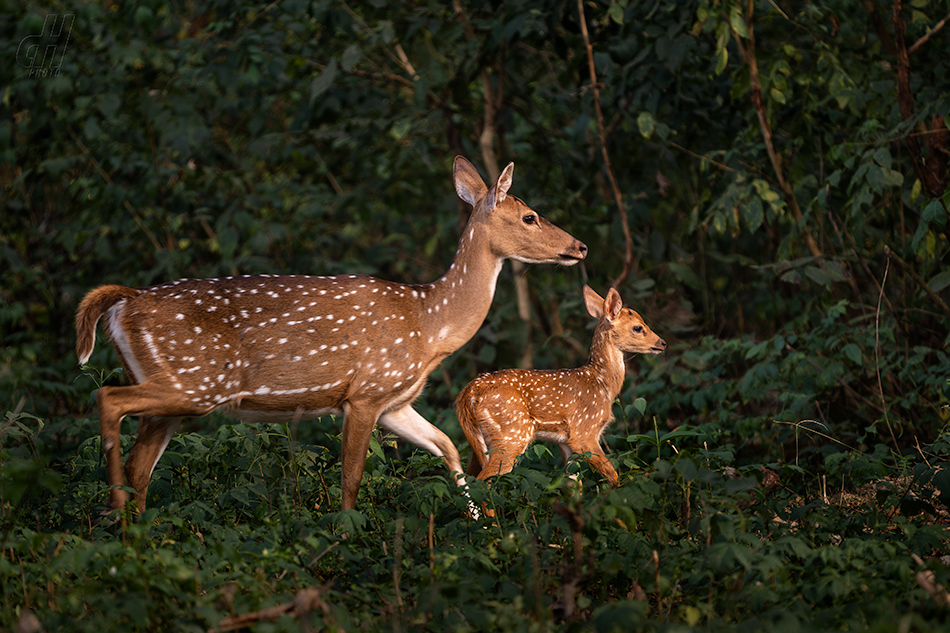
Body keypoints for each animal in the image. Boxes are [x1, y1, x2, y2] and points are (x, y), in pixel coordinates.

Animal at [76, 154, 588, 512]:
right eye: (530, 216)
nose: (580, 246)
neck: (429, 325)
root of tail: (124, 302)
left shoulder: (394, 401)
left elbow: (450, 449)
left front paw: (482, 525)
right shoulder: (364, 392)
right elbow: (352, 478)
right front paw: (345, 536)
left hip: (174, 395)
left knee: (141, 465)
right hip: (195, 383)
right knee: (108, 400)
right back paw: (115, 514)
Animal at [458, 284, 664, 486]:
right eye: (638, 327)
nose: (662, 343)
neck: (601, 384)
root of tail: (470, 391)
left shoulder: (565, 441)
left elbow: (574, 483)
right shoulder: (584, 432)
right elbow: (614, 475)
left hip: (481, 441)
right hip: (512, 434)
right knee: (483, 481)